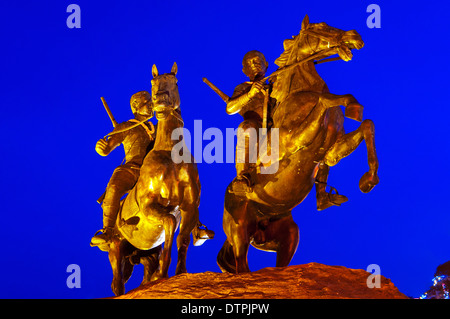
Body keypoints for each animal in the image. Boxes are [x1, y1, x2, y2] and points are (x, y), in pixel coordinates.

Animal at [216, 15, 378, 274]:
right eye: (321, 27)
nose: (355, 35)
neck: (301, 92)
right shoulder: (290, 141)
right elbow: (326, 99)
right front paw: (351, 104)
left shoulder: (331, 150)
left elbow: (367, 126)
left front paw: (369, 180)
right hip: (239, 230)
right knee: (241, 267)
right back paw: (242, 184)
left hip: (287, 233)